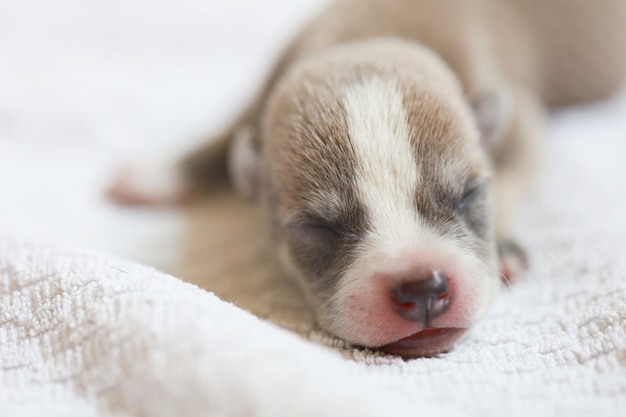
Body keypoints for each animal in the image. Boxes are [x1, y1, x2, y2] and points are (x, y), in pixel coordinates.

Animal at [109, 0, 624, 358]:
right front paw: (161, 173)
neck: (367, 38)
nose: (423, 289)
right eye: (316, 227)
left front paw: (506, 246)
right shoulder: (266, 90)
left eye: (469, 195)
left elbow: (517, 165)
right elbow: (226, 133)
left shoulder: (520, 117)